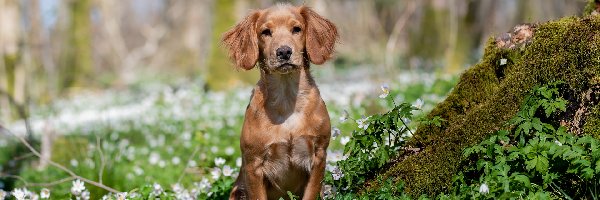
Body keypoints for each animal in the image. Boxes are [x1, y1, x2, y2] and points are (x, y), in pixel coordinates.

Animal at [221, 3, 338, 200]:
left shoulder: (319, 154)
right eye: (266, 32)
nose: (284, 52)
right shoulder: (253, 164)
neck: (287, 100)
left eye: (297, 29)